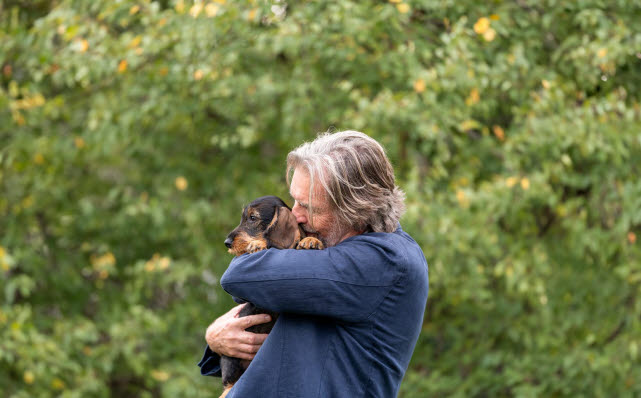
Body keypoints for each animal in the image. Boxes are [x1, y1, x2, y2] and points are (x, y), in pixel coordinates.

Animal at [220, 195, 322, 394]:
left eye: (252, 218)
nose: (227, 242)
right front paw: (258, 244)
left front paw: (311, 241)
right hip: (232, 363)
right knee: (229, 384)